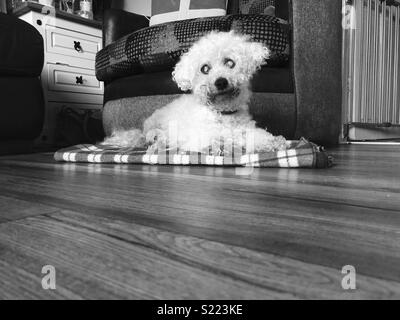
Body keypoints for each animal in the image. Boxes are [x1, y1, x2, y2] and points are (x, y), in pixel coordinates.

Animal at [104, 31, 288, 155]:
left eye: (230, 62)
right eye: (204, 69)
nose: (221, 82)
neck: (222, 113)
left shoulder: (245, 128)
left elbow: (255, 135)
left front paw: (273, 141)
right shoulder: (198, 138)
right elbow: (217, 140)